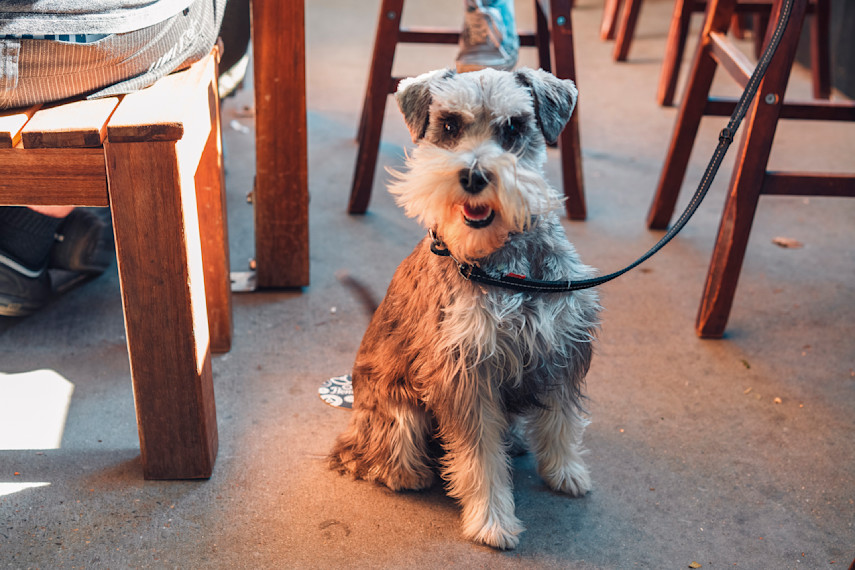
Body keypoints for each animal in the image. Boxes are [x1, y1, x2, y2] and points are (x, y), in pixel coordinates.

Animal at [332, 67, 600, 552]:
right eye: (450, 125)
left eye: (513, 127)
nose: (474, 176)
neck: (505, 266)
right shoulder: (465, 375)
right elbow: (479, 457)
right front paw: (492, 520)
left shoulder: (560, 349)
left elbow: (562, 421)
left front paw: (566, 472)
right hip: (397, 411)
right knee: (370, 452)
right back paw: (407, 473)